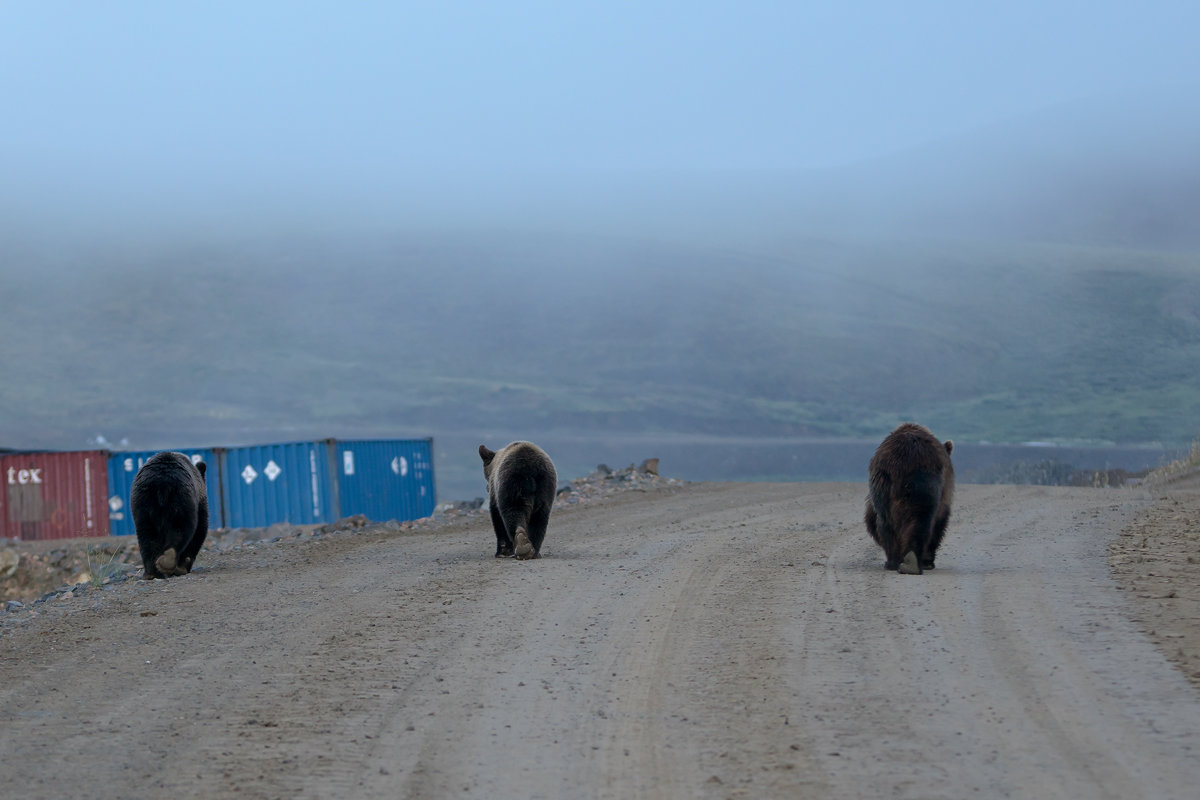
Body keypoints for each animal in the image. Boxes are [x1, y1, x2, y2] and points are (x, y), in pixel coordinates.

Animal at [864, 424, 955, 575]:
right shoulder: (945, 491)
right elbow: (940, 522)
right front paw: (928, 561)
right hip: (922, 483)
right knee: (918, 520)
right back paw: (906, 561)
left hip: (885, 484)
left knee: (888, 521)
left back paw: (900, 561)